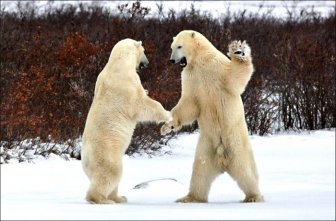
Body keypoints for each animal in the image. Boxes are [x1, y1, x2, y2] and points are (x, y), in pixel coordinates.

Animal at [81, 38, 171, 204]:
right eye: (144, 51)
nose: (147, 63)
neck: (118, 63)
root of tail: (85, 161)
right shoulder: (127, 84)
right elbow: (142, 105)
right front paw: (167, 114)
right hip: (107, 154)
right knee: (110, 174)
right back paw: (102, 199)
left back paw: (120, 197)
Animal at [161, 30, 264, 203]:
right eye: (172, 47)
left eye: (179, 46)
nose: (172, 60)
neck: (199, 61)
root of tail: (222, 161)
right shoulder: (190, 77)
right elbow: (189, 103)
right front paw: (167, 125)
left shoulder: (217, 67)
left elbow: (234, 79)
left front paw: (239, 50)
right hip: (206, 146)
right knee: (200, 172)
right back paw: (189, 198)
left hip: (236, 142)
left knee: (245, 169)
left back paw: (253, 196)